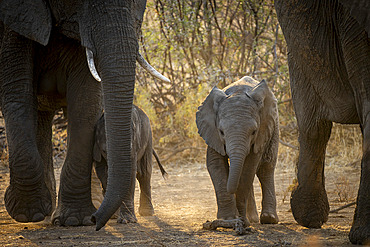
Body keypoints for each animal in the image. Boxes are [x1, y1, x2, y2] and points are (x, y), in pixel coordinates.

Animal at [0, 0, 169, 232]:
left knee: (143, 173)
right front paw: (27, 213)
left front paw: (74, 220)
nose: (96, 222)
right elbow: (17, 94)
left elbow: (85, 101)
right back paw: (44, 213)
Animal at [197, 76, 278, 227]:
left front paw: (241, 220)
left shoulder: (261, 133)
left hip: (274, 128)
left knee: (266, 168)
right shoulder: (212, 133)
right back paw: (253, 219)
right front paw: (228, 219)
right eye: (221, 132)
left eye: (254, 132)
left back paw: (268, 219)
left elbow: (249, 168)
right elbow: (215, 164)